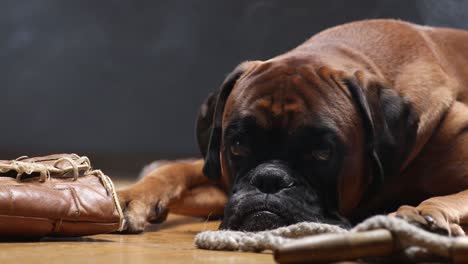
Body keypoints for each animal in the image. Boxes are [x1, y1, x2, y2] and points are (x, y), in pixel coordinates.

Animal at [118, 20, 468, 235]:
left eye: (322, 152)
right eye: (238, 145)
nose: (269, 179)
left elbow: (450, 197)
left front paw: (421, 214)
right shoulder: (221, 179)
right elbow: (178, 171)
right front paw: (131, 196)